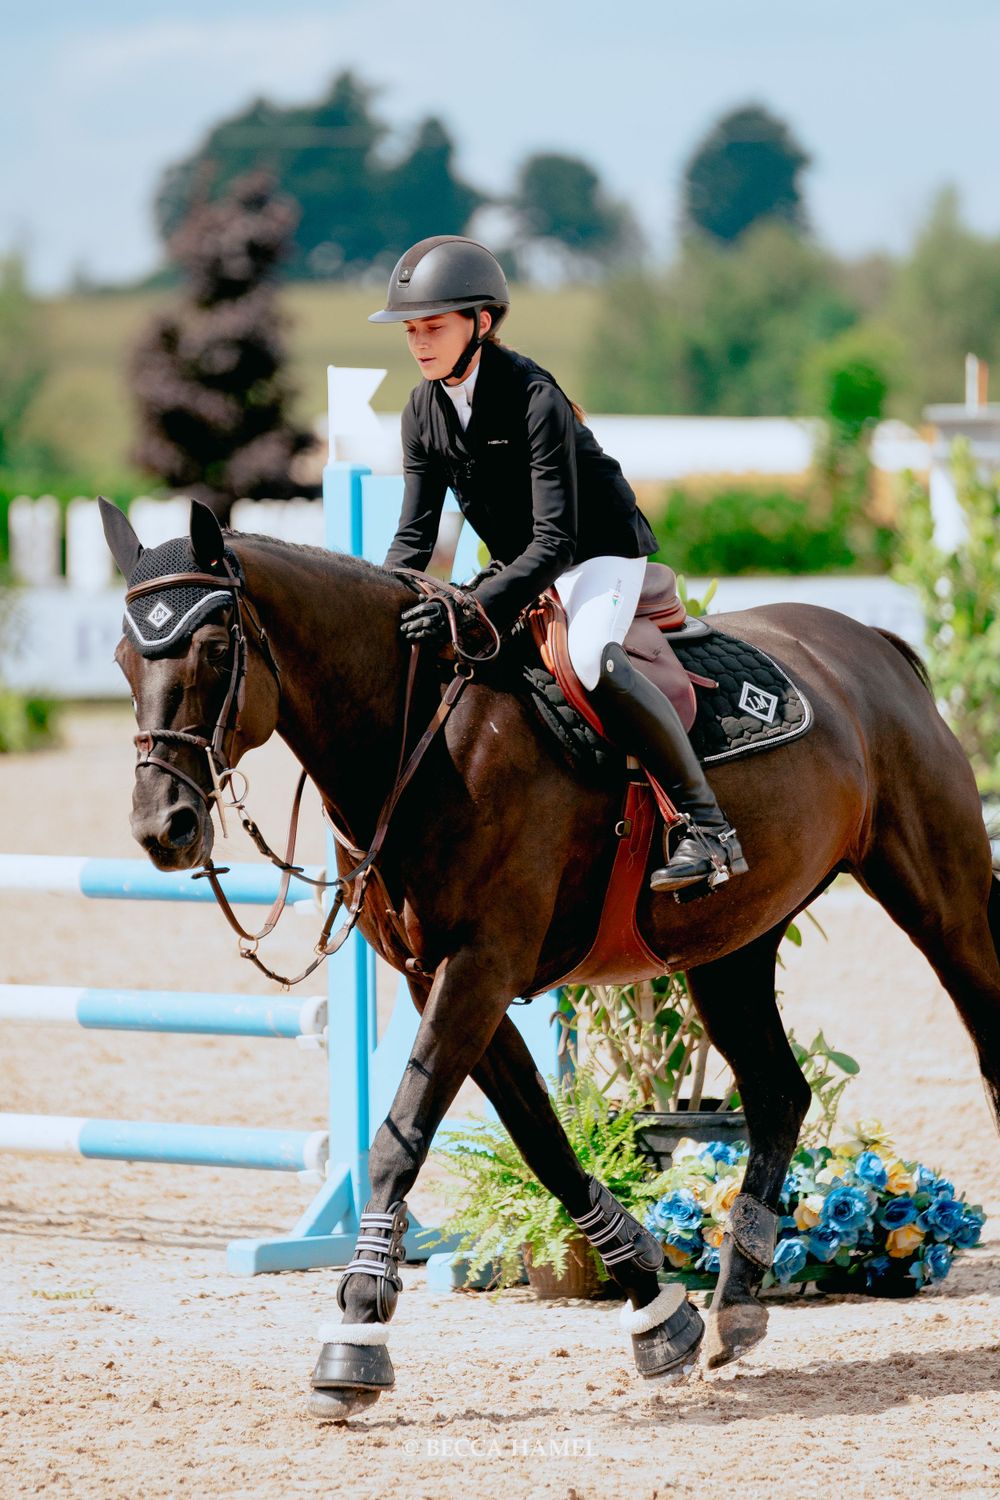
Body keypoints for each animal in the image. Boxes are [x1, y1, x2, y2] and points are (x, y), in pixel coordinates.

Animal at [100, 498, 1000, 1420]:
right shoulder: (440, 976)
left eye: (216, 649)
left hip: (944, 904)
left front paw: (352, 1339)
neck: (417, 734)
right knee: (779, 1092)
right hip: (733, 943)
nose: (163, 828)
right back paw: (735, 1304)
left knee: (985, 1047)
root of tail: (871, 644)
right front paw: (658, 1312)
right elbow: (541, 1140)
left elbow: (401, 1139)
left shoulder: (481, 965)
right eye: (125, 658)